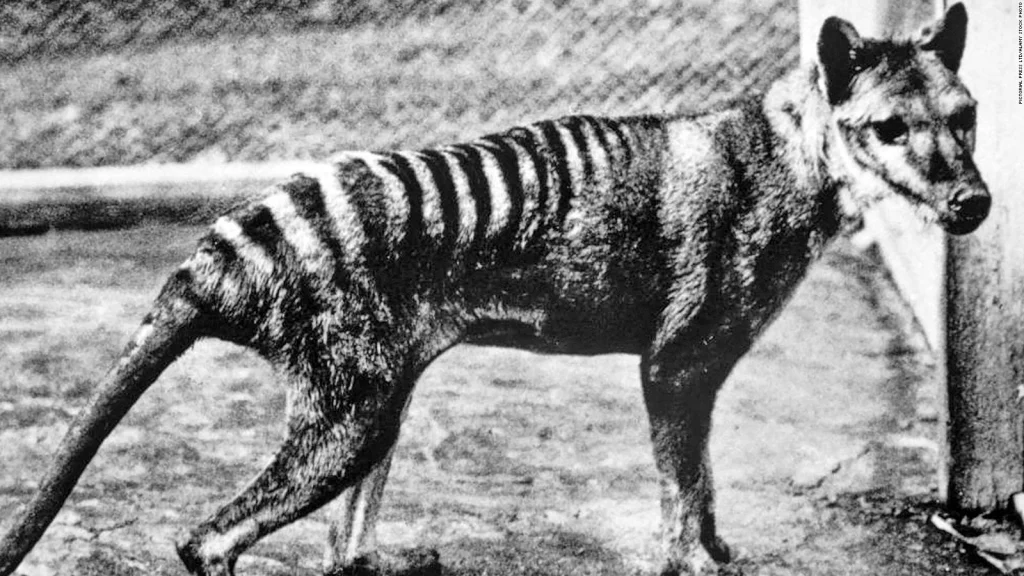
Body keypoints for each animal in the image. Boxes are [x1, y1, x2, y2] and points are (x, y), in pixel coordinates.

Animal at [0, 4, 988, 575]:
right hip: (350, 418)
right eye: (889, 128)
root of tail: (219, 252)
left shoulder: (698, 377)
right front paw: (696, 563)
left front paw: (720, 550)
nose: (974, 202)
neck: (789, 158)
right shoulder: (674, 367)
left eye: (967, 116)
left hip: (380, 403)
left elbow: (704, 487)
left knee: (341, 550)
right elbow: (681, 494)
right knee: (207, 540)